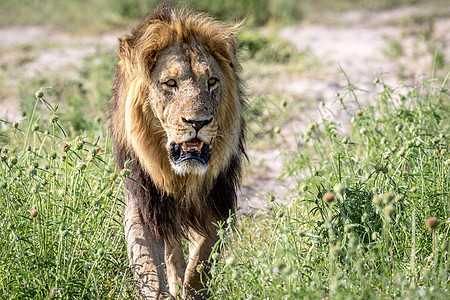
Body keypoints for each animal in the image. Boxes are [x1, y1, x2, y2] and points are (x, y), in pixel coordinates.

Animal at [109, 1, 248, 298]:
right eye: (170, 84)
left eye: (212, 82)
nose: (198, 122)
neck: (178, 176)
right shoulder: (143, 201)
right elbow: (148, 267)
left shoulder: (215, 202)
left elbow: (200, 265)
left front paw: (191, 289)